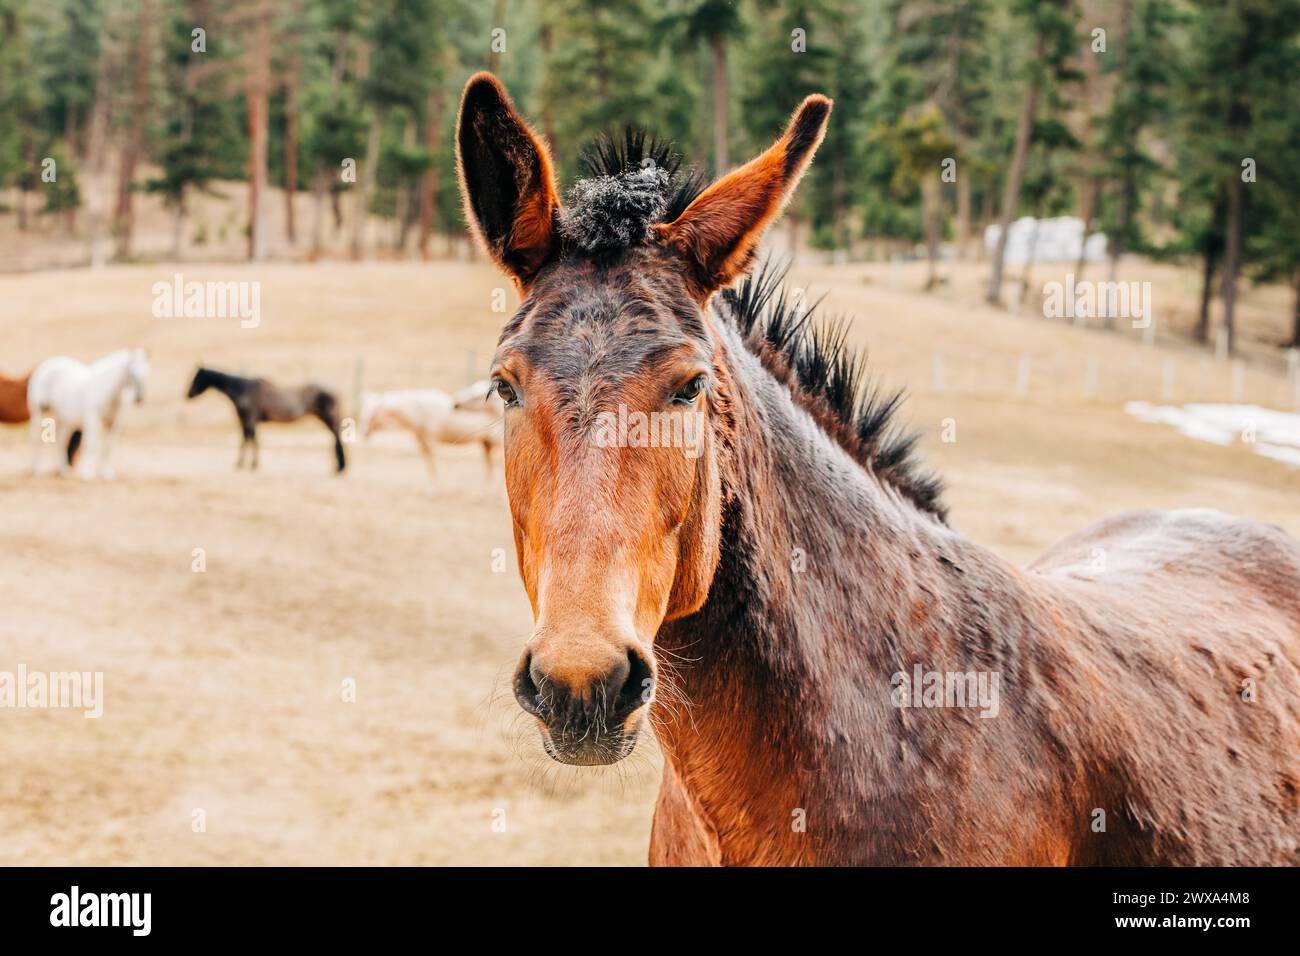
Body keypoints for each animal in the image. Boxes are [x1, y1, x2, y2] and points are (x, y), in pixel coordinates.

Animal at [27, 348, 150, 480]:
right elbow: (91, 443)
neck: (109, 392)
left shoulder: (114, 423)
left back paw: (62, 470)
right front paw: (87, 473)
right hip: (41, 413)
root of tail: (47, 364)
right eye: (131, 374)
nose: (139, 398)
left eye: (147, 374)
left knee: (61, 441)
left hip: (65, 421)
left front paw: (106, 473)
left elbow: (108, 446)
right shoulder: (93, 419)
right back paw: (35, 468)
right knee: (37, 439)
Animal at [186, 367, 345, 473]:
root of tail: (336, 391)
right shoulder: (246, 420)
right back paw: (339, 466)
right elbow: (250, 438)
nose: (188, 394)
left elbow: (248, 439)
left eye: (196, 378)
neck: (241, 389)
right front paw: (249, 464)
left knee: (337, 438)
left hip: (329, 418)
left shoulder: (249, 418)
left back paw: (340, 467)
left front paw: (246, 464)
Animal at [358, 381, 502, 485]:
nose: (363, 433)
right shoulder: (421, 441)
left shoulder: (430, 440)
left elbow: (432, 464)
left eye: (373, 414)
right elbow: (428, 464)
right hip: (486, 444)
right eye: (364, 412)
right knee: (489, 468)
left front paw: (434, 491)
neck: (418, 410)